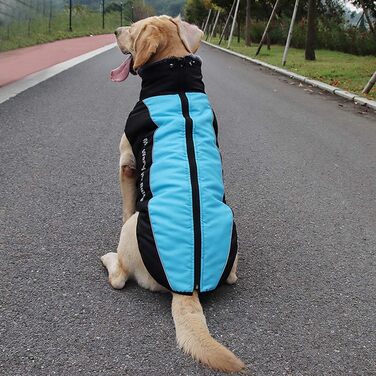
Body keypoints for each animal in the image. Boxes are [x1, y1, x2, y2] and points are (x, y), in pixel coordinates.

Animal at [101, 15, 245, 374]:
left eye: (133, 30)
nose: (115, 31)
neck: (176, 80)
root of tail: (188, 288)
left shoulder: (126, 163)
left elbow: (125, 204)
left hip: (133, 231)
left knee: (119, 277)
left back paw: (109, 259)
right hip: (232, 226)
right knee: (233, 278)